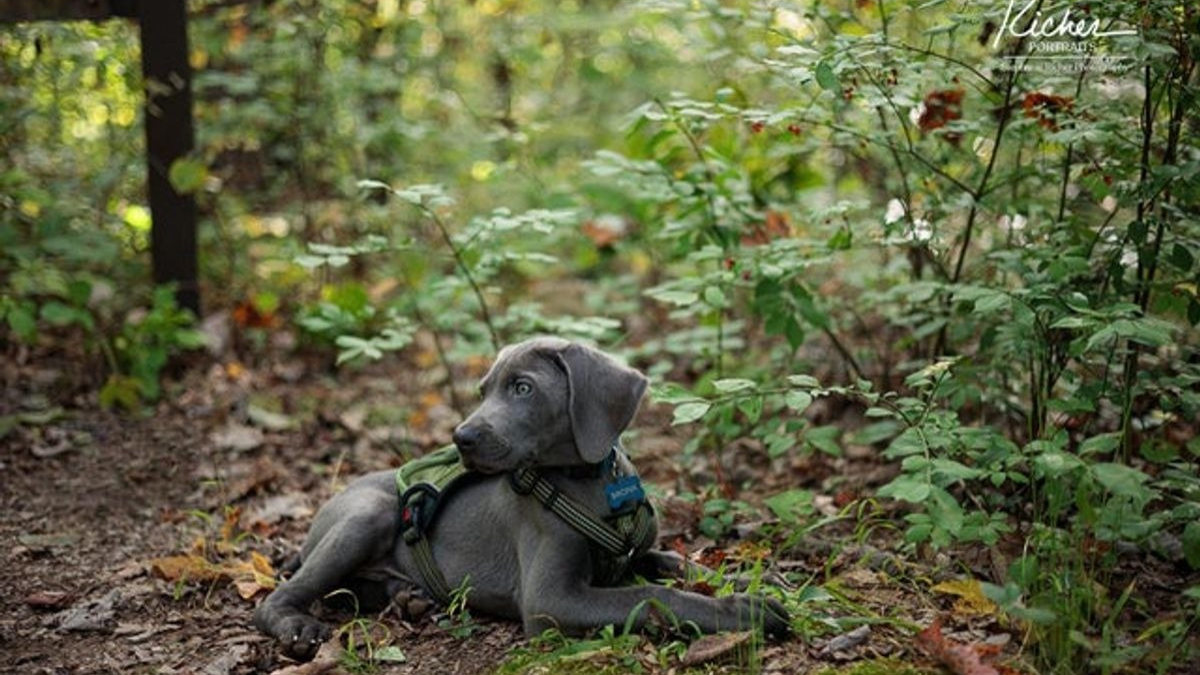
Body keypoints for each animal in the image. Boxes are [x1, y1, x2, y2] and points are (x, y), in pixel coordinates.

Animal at [255, 336, 787, 658]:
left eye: (523, 388)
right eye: (484, 390)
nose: (461, 437)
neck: (587, 478)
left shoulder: (636, 553)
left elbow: (677, 563)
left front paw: (752, 579)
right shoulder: (549, 601)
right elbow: (650, 595)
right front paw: (744, 611)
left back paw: (408, 598)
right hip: (367, 514)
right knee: (275, 599)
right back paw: (298, 628)